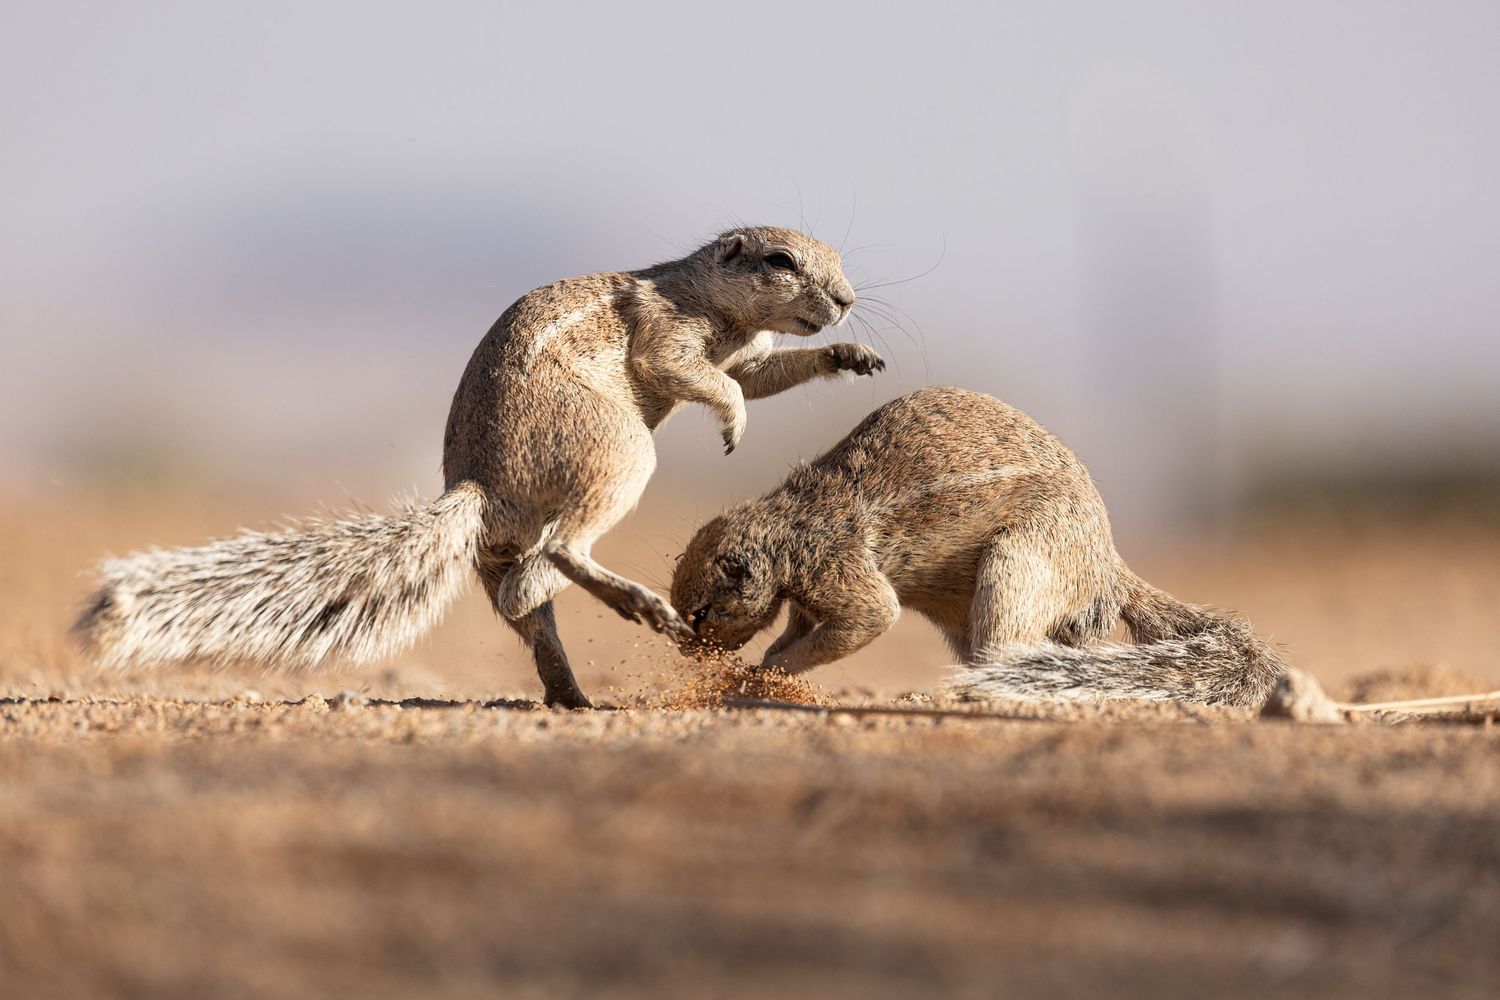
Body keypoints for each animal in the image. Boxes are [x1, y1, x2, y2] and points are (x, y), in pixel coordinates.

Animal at [72, 226, 885, 708]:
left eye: (843, 264)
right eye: (781, 260)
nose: (846, 301)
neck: (709, 299)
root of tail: (479, 493)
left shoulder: (746, 352)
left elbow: (759, 376)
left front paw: (850, 357)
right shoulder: (672, 333)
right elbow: (705, 378)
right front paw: (734, 423)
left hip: (501, 553)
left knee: (528, 603)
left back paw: (574, 696)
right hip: (616, 450)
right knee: (558, 552)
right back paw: (638, 609)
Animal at [669, 386, 1286, 707]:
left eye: (701, 612)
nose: (692, 654)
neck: (788, 525)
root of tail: (1109, 565)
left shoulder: (835, 567)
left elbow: (870, 615)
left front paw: (764, 674)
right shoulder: (805, 596)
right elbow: (801, 628)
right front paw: (766, 667)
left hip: (1019, 561)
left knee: (1010, 648)